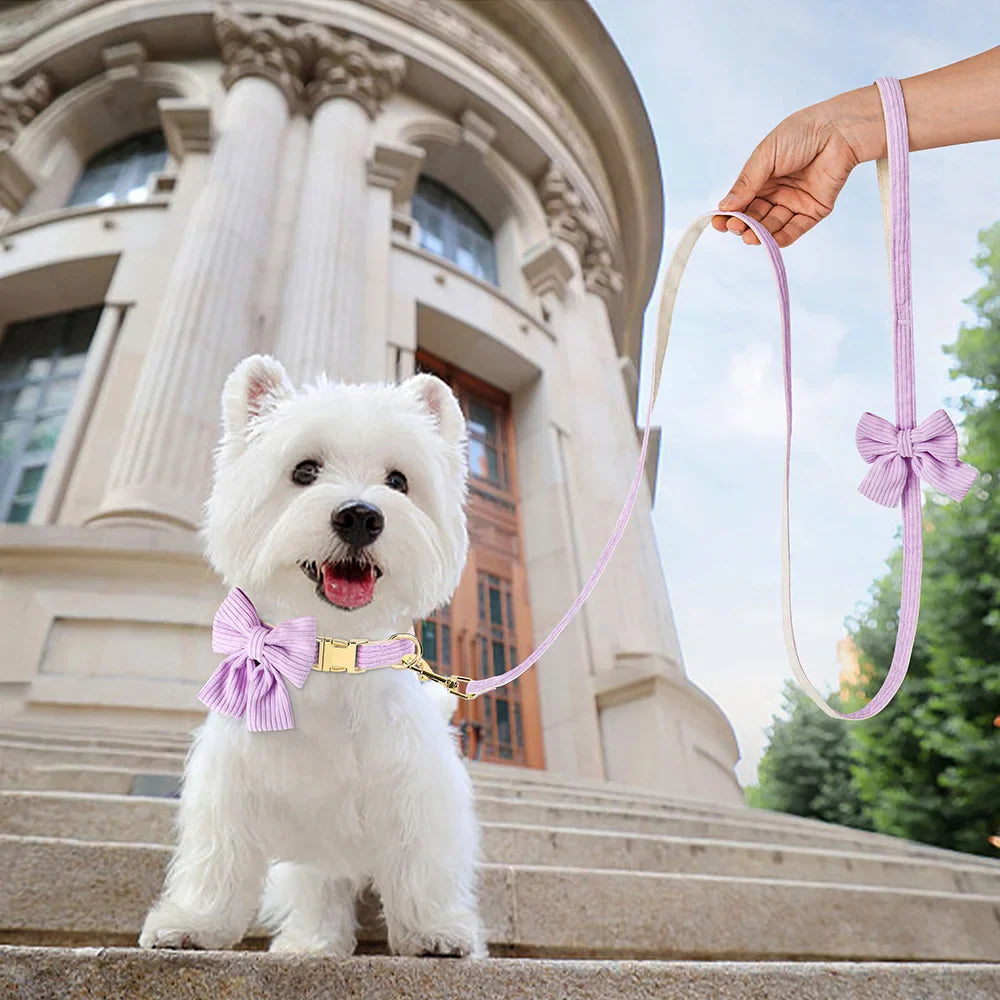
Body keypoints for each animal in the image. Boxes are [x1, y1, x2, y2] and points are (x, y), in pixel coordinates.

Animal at [139, 356, 486, 956]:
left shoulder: (419, 787)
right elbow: (219, 855)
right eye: (304, 470)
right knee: (319, 888)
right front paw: (194, 923)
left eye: (399, 481)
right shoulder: (231, 781)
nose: (360, 516)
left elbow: (422, 862)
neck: (328, 652)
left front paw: (434, 930)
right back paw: (311, 943)